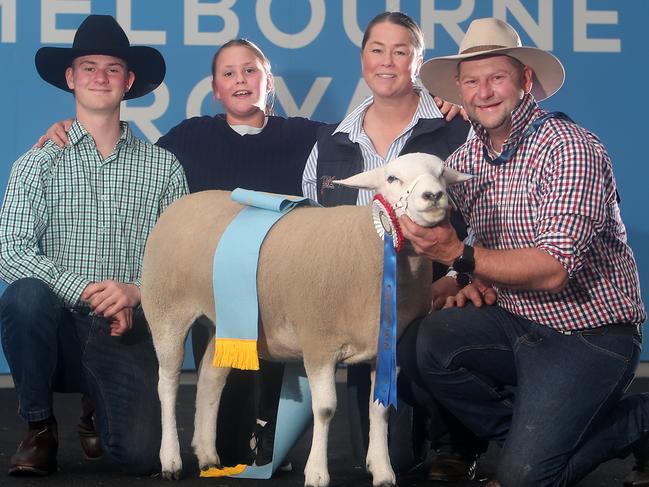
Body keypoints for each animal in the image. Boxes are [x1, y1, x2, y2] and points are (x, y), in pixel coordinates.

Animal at [139, 152, 468, 487]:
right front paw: (317, 474)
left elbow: (380, 410)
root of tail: (182, 202)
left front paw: (382, 471)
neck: (367, 243)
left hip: (227, 322)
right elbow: (324, 410)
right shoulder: (319, 342)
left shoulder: (389, 349)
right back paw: (171, 460)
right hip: (167, 310)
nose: (433, 195)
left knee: (209, 379)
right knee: (167, 384)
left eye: (442, 173)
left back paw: (207, 455)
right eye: (392, 179)